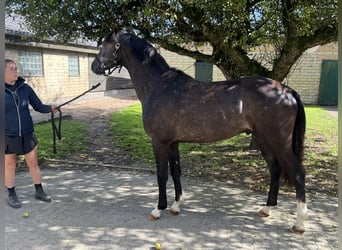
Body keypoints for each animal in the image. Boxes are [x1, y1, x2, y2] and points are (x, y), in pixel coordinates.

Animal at [91, 26, 308, 233]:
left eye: (105, 44)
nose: (94, 66)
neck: (159, 86)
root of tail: (287, 91)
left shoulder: (159, 142)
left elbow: (161, 175)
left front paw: (158, 209)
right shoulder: (173, 143)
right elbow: (176, 172)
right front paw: (176, 206)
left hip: (279, 143)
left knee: (298, 174)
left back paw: (299, 223)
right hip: (264, 140)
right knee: (275, 170)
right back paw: (267, 209)